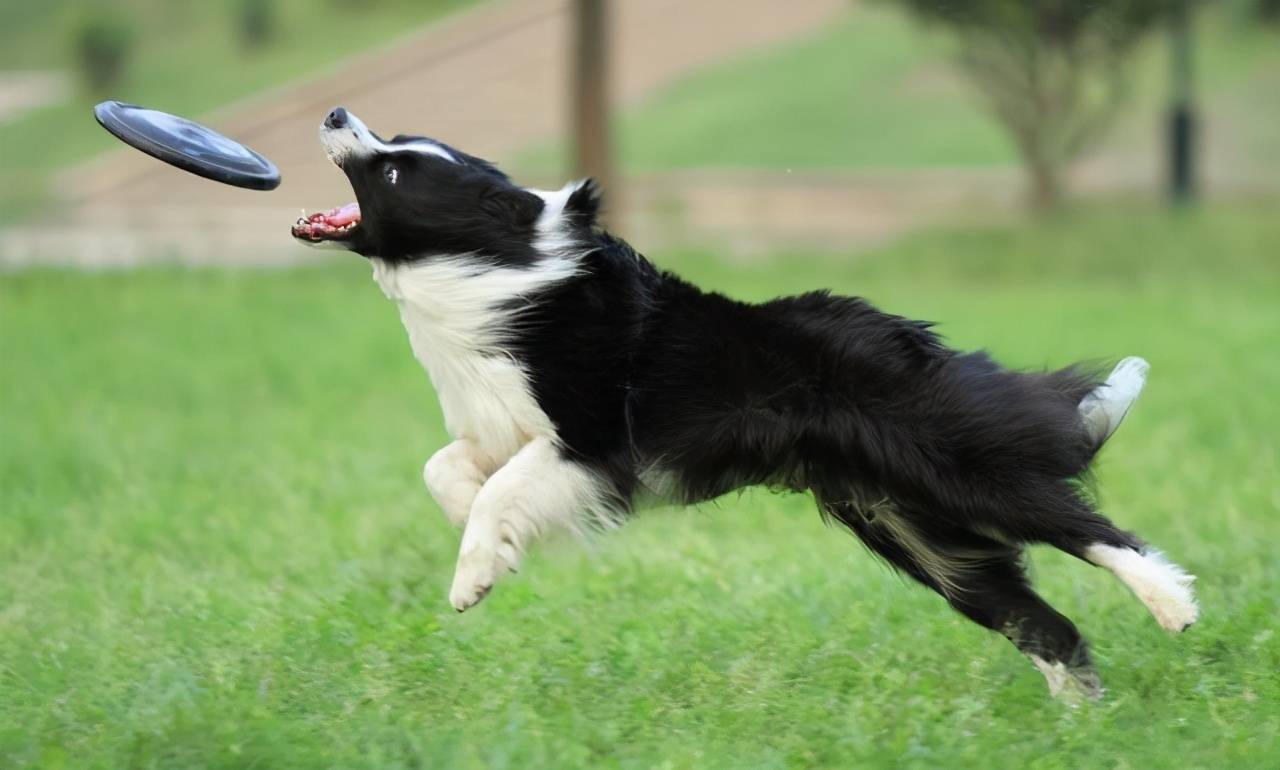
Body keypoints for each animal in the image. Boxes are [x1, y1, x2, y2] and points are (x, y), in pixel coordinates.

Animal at [294, 108, 1192, 695]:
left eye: (395, 168)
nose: (336, 111)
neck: (492, 273)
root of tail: (913, 339)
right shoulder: (502, 425)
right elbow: (446, 469)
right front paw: (477, 535)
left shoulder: (590, 444)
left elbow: (503, 490)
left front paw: (474, 575)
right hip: (914, 529)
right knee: (1039, 620)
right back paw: (1080, 720)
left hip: (952, 469)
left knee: (1086, 525)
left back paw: (1171, 603)